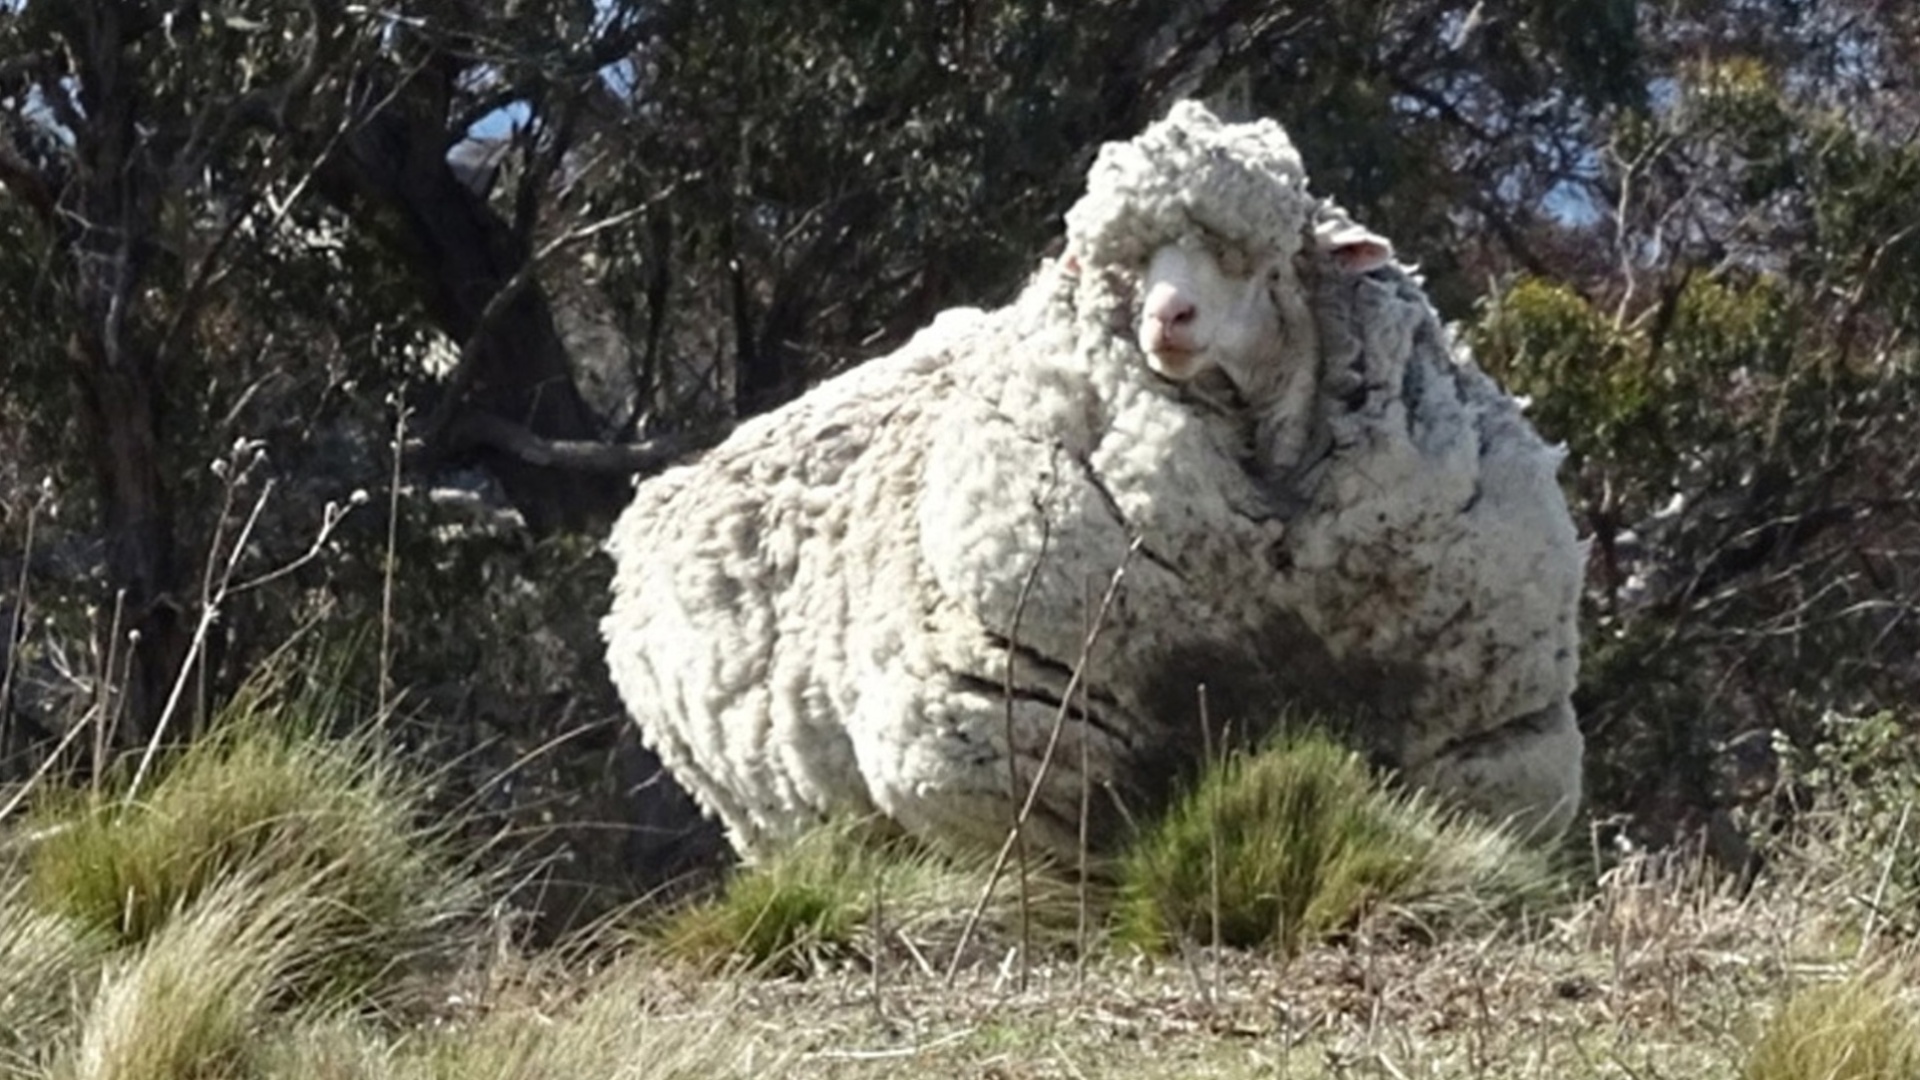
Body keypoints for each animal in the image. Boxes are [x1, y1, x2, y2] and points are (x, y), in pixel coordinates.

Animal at [602, 100, 1589, 857]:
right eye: (1128, 265)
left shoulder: (1481, 737)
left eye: (1257, 256)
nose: (1168, 318)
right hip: (779, 819)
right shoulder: (1018, 741)